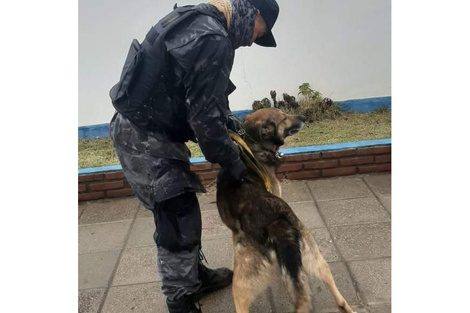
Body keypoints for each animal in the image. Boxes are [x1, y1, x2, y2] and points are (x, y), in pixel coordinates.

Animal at [217, 108, 356, 312]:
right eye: (284, 117)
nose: (304, 117)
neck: (253, 146)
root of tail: (276, 223)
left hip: (245, 280)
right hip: (312, 255)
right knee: (334, 290)